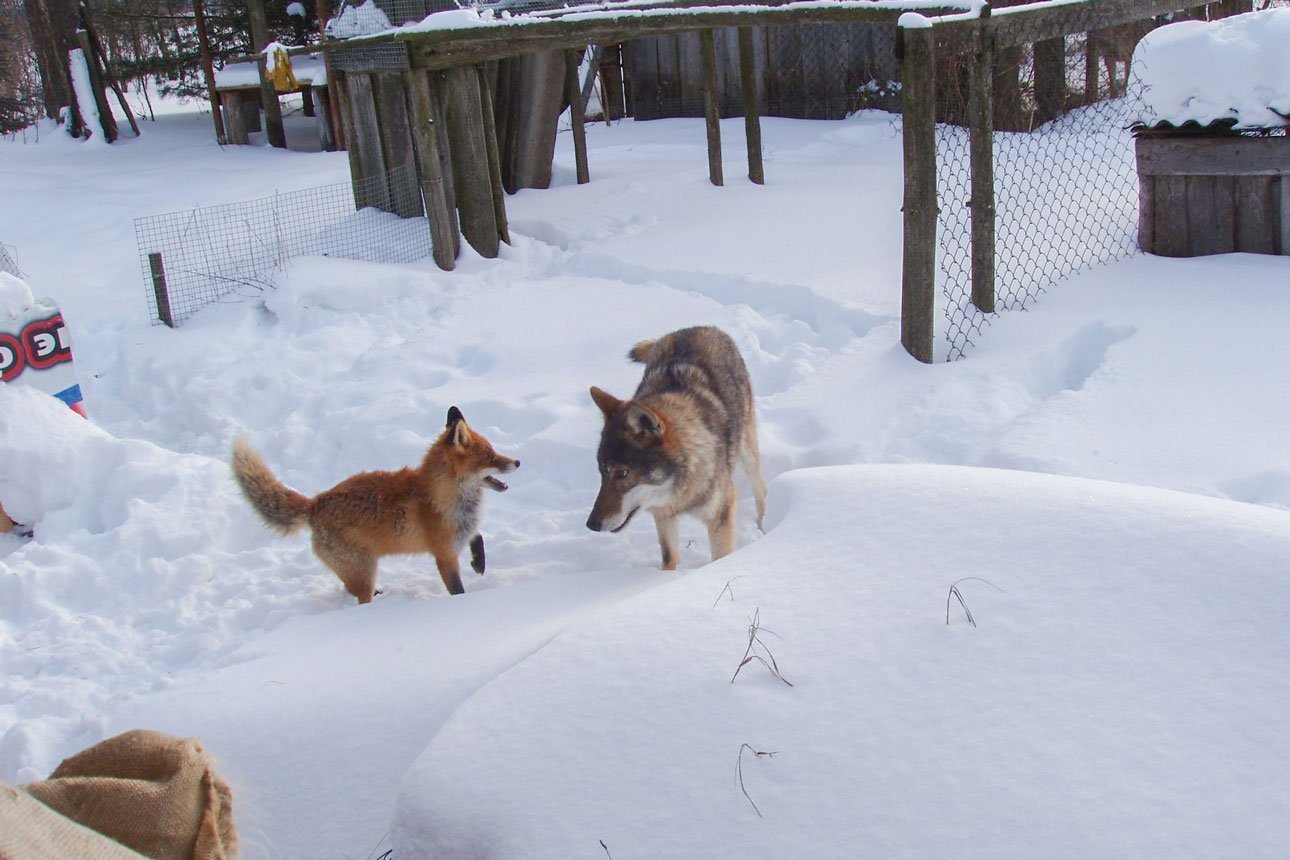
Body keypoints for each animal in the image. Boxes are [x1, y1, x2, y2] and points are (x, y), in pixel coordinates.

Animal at [232, 407, 518, 603]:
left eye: (494, 451)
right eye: (490, 457)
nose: (517, 462)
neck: (443, 496)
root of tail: (316, 503)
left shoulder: (464, 531)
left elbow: (477, 536)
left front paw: (479, 563)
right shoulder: (444, 555)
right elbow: (457, 589)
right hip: (364, 572)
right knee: (360, 598)